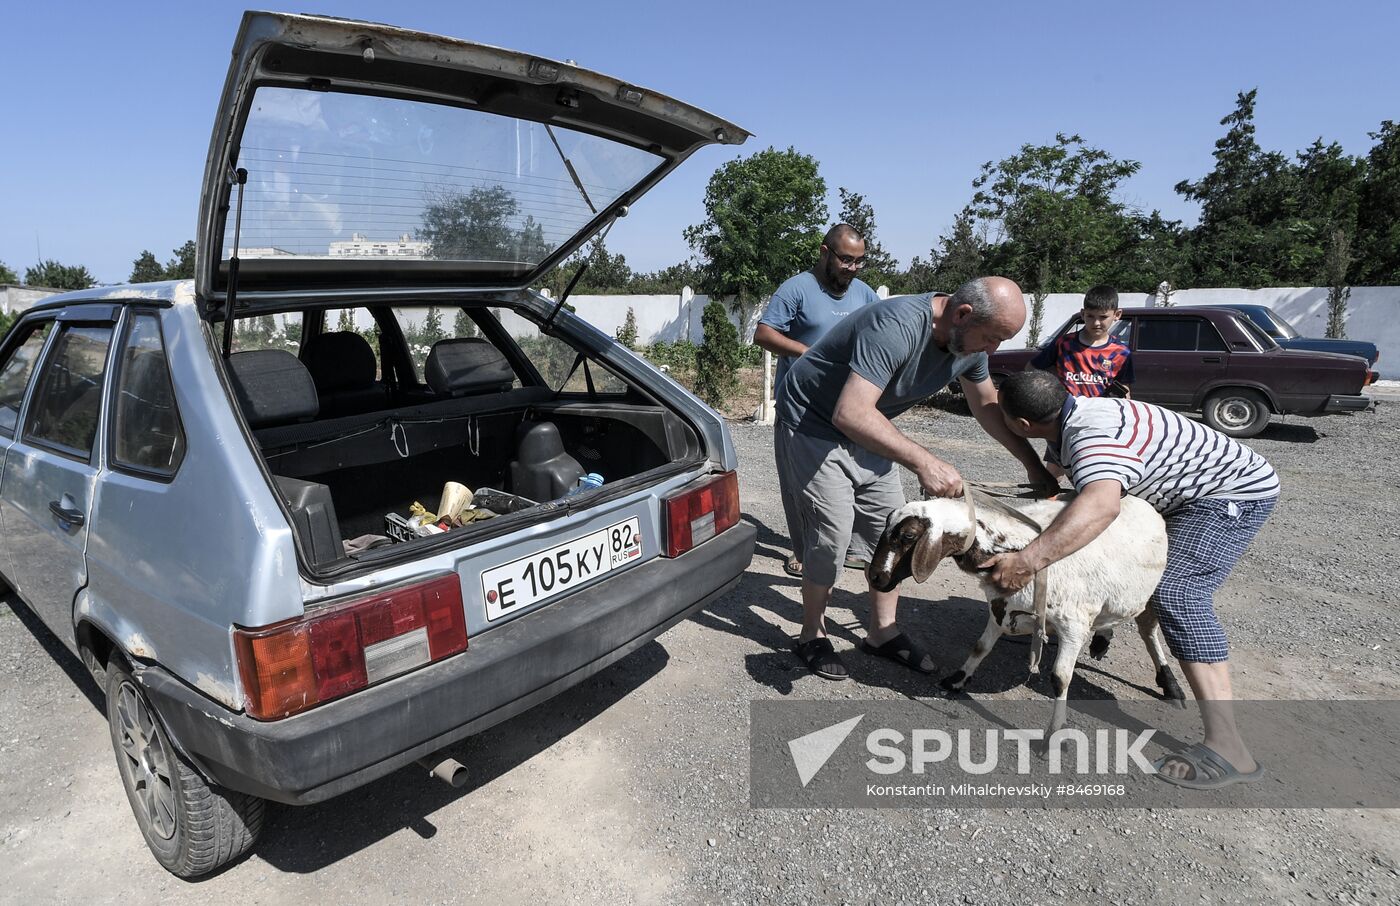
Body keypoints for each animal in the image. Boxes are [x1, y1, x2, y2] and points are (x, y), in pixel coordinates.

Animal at [868, 492, 1187, 739]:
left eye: (908, 536)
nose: (875, 577)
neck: (1017, 549)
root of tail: (1142, 502)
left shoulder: (1073, 625)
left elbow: (1060, 678)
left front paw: (1053, 736)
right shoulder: (1000, 607)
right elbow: (980, 647)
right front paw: (957, 680)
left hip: (1151, 594)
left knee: (1148, 632)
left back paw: (1170, 684)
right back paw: (1102, 639)